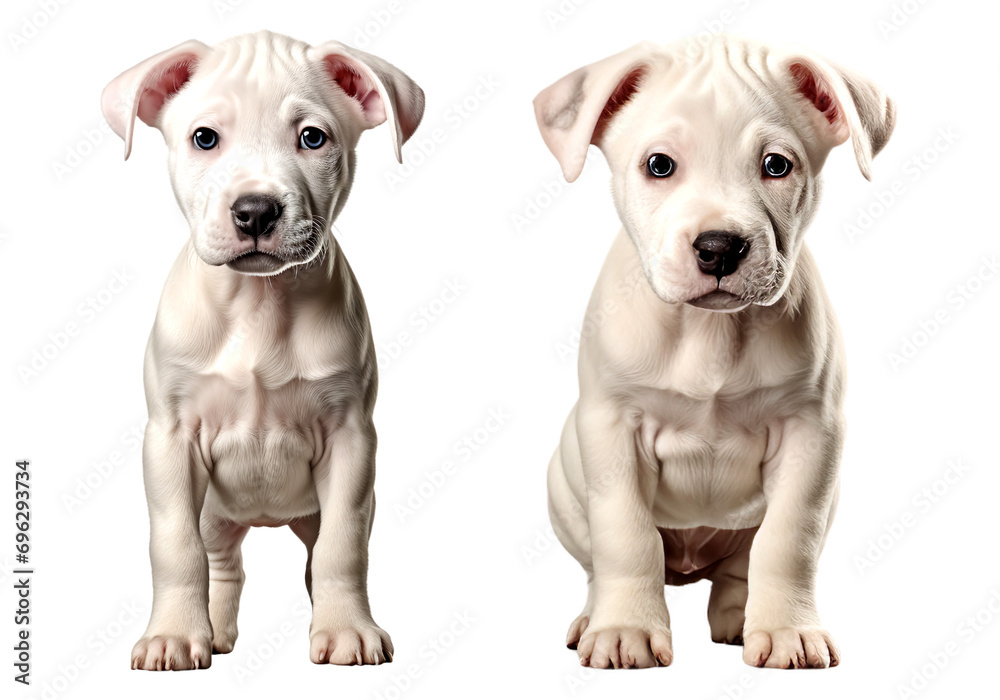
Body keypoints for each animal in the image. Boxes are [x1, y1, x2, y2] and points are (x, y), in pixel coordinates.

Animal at [103, 31, 424, 672]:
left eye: (313, 138)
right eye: (205, 138)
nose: (255, 210)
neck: (258, 303)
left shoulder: (351, 440)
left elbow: (343, 547)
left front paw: (347, 629)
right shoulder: (170, 439)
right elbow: (174, 544)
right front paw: (173, 635)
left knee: (317, 554)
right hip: (214, 513)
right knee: (220, 562)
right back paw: (212, 633)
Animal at [536, 35, 896, 668]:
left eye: (776, 166)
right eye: (659, 165)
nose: (719, 247)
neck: (709, 331)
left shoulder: (812, 435)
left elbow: (788, 541)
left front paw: (788, 632)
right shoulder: (612, 430)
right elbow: (626, 536)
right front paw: (625, 630)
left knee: (740, 568)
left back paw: (739, 617)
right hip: (565, 486)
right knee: (601, 561)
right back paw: (593, 617)